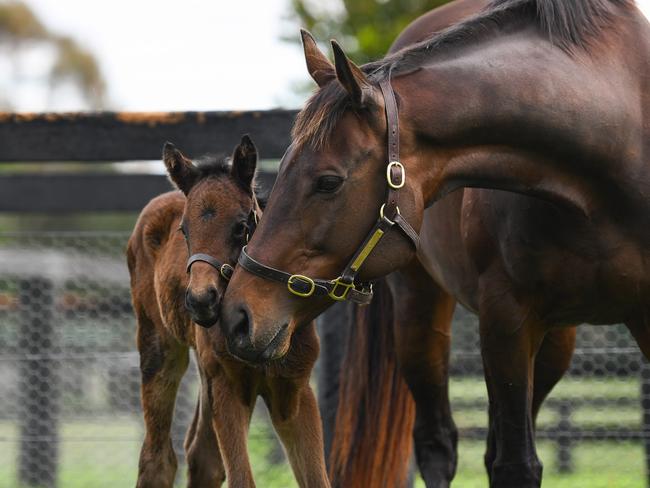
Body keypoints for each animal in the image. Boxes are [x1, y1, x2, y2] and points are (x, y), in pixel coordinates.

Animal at [125, 136, 330, 488]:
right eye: (184, 230)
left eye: (241, 226)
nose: (200, 300)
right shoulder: (228, 385)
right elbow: (240, 478)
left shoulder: (295, 388)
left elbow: (318, 479)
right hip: (160, 347)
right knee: (158, 457)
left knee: (202, 455)